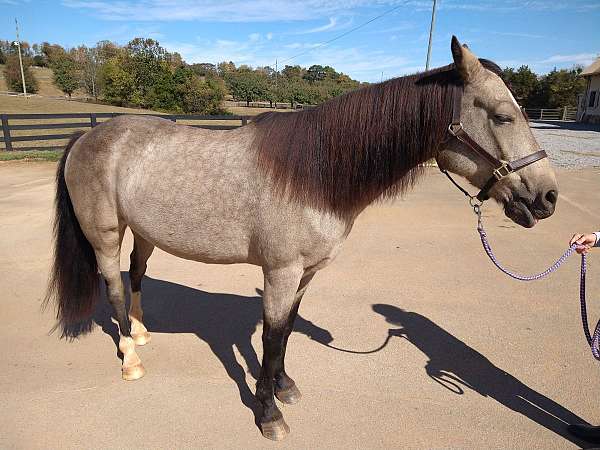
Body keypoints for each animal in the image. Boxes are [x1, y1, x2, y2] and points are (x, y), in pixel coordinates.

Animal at [45, 37, 556, 440]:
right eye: (503, 116)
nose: (546, 197)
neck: (312, 173)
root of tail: (85, 138)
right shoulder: (281, 272)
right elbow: (271, 337)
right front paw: (268, 414)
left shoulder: (306, 273)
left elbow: (287, 330)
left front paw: (284, 387)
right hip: (105, 237)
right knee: (113, 288)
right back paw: (130, 358)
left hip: (143, 232)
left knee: (137, 273)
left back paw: (140, 331)